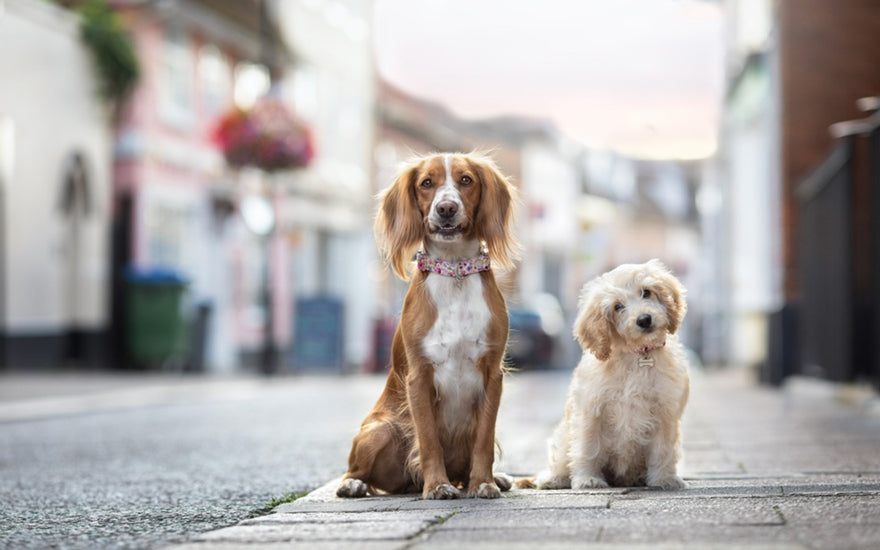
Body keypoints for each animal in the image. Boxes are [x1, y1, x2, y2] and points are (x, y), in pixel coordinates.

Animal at [336, 153, 516, 502]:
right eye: (426, 183)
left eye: (466, 180)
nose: (446, 208)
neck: (455, 271)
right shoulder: (418, 376)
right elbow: (429, 440)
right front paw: (436, 486)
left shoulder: (493, 373)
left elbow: (484, 440)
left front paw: (484, 482)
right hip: (379, 430)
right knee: (356, 470)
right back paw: (354, 485)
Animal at [528, 260, 688, 494]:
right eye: (618, 307)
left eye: (646, 292)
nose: (644, 319)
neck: (637, 355)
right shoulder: (591, 410)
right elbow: (588, 447)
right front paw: (588, 479)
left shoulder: (665, 411)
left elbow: (663, 449)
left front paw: (664, 479)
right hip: (564, 437)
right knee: (561, 460)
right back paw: (554, 479)